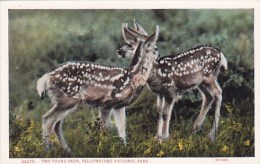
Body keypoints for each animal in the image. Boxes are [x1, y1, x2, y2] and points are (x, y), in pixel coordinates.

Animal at [36, 25, 158, 154]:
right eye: (155, 47)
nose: (159, 55)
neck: (132, 75)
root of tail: (47, 77)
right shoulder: (107, 101)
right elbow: (105, 128)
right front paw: (103, 148)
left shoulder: (119, 105)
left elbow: (121, 128)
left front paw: (124, 149)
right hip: (68, 98)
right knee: (47, 119)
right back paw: (47, 151)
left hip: (64, 101)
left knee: (57, 124)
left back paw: (68, 151)